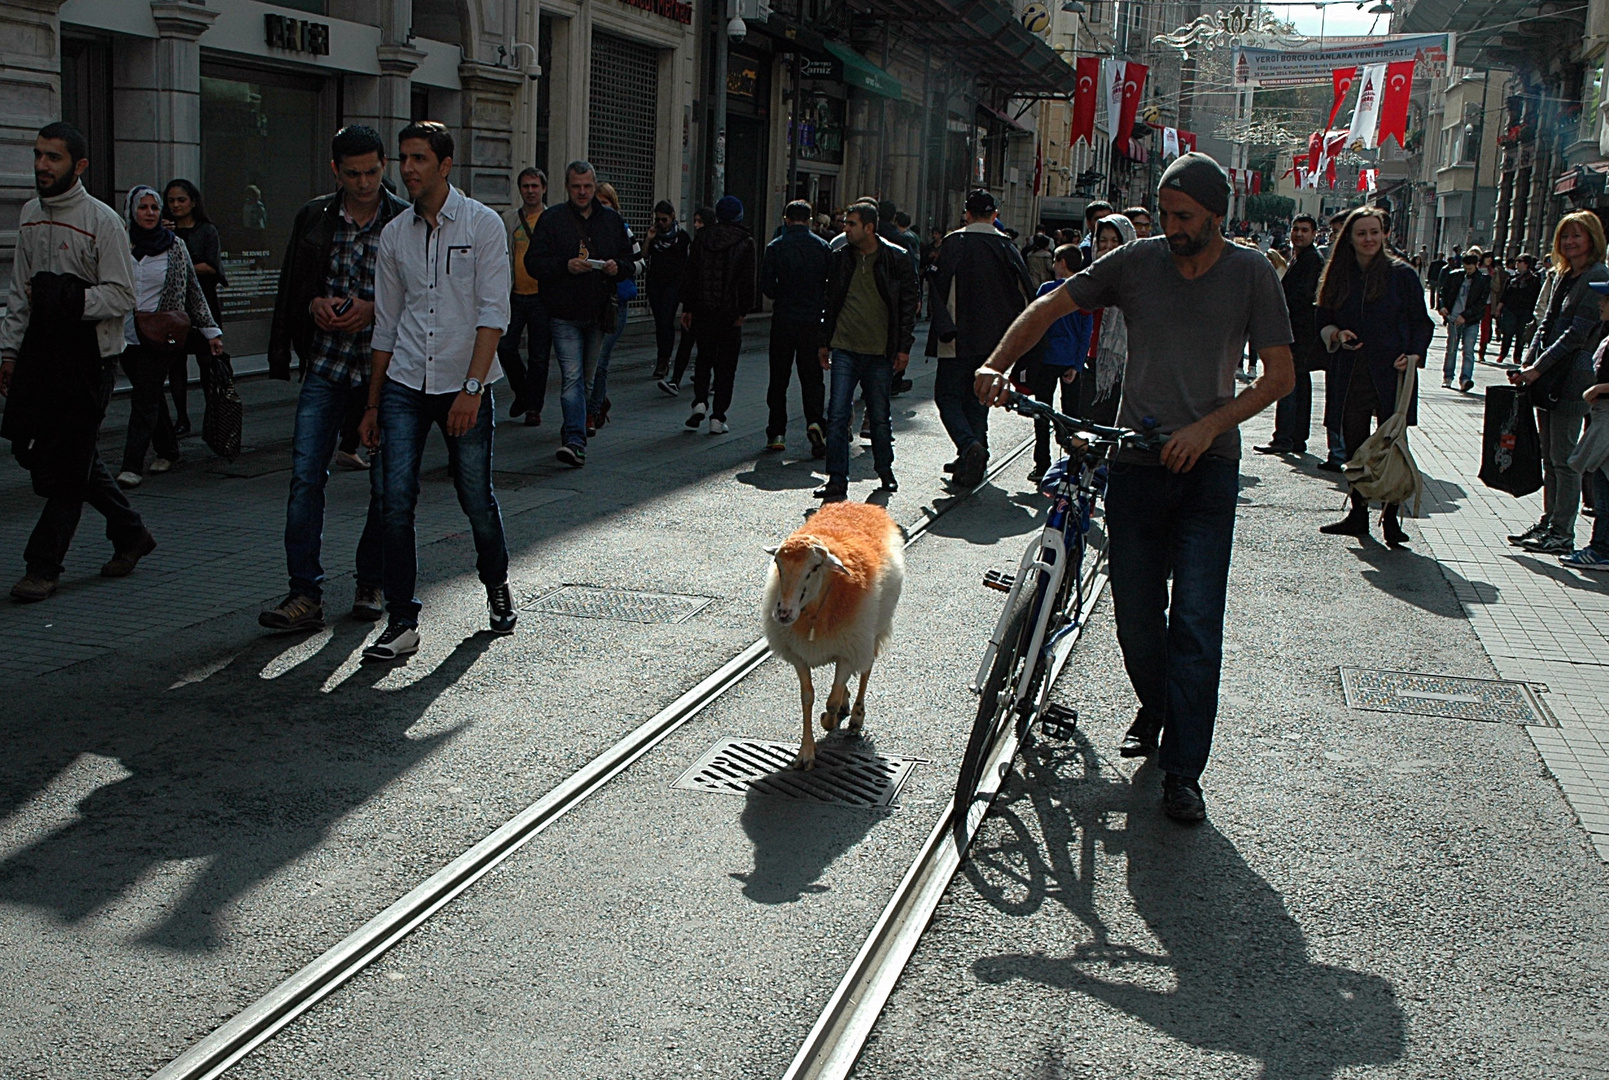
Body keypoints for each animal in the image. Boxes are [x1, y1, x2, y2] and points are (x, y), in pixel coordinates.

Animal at [762, 505, 907, 769]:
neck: (813, 613)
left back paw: (856, 715)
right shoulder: (799, 655)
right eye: (778, 563)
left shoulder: (848, 652)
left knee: (866, 669)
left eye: (815, 568)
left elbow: (830, 701)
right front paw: (805, 752)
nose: (783, 613)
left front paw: (827, 720)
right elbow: (807, 697)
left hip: (871, 631)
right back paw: (845, 702)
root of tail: (862, 505)